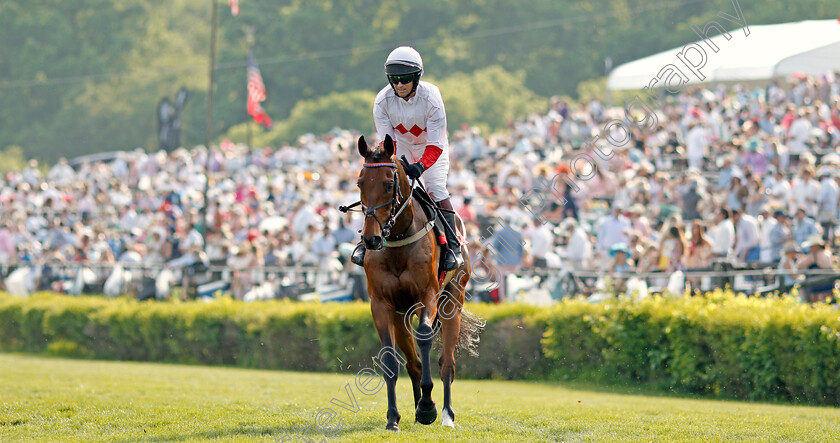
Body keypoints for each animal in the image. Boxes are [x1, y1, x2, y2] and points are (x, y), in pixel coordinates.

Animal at [352, 134, 482, 430]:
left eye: (389, 185)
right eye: (360, 183)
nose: (371, 239)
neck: (398, 240)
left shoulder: (428, 295)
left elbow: (424, 336)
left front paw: (427, 408)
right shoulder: (382, 304)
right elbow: (391, 360)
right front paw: (393, 417)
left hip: (453, 303)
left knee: (447, 363)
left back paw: (445, 414)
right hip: (401, 316)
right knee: (413, 362)